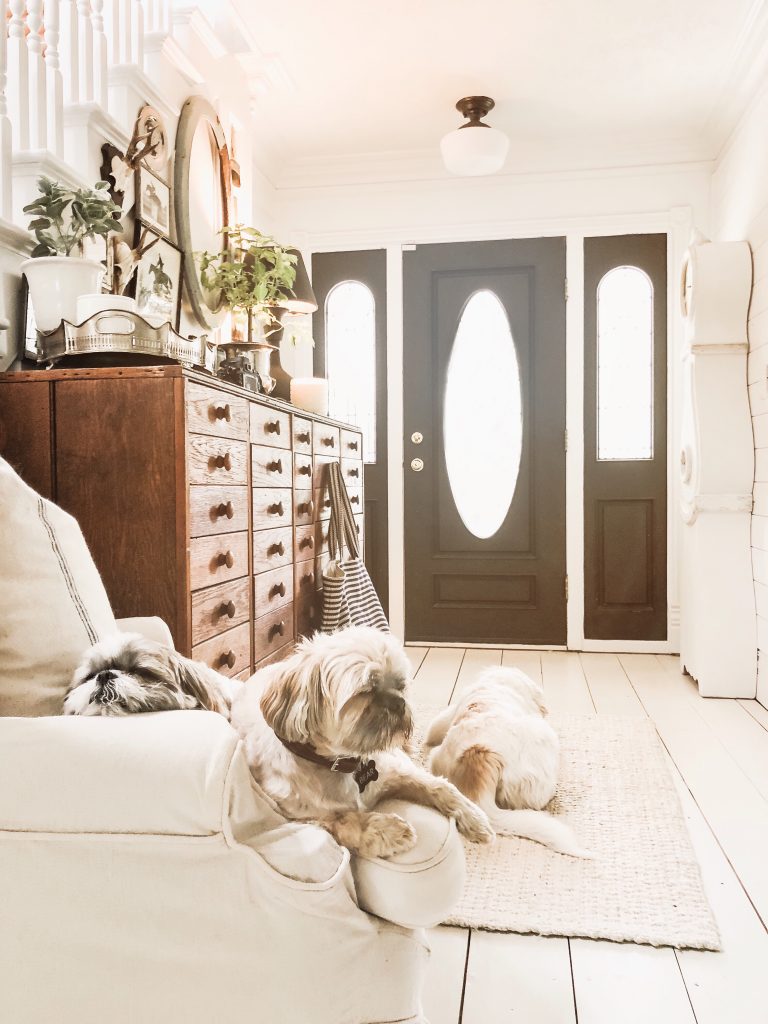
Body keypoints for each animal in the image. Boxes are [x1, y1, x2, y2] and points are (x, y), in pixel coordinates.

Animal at [227, 627, 495, 858]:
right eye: (366, 690)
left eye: (400, 684)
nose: (399, 702)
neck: (343, 762)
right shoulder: (301, 817)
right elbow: (346, 820)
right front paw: (391, 830)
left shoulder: (398, 771)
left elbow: (441, 787)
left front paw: (475, 817)